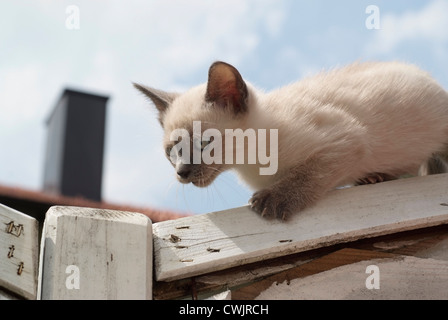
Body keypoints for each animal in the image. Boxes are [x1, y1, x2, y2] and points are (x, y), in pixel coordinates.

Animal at [133, 60, 448, 220]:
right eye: (172, 153)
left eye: (202, 143)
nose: (181, 172)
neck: (250, 161)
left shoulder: (345, 140)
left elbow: (307, 175)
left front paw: (272, 202)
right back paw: (375, 178)